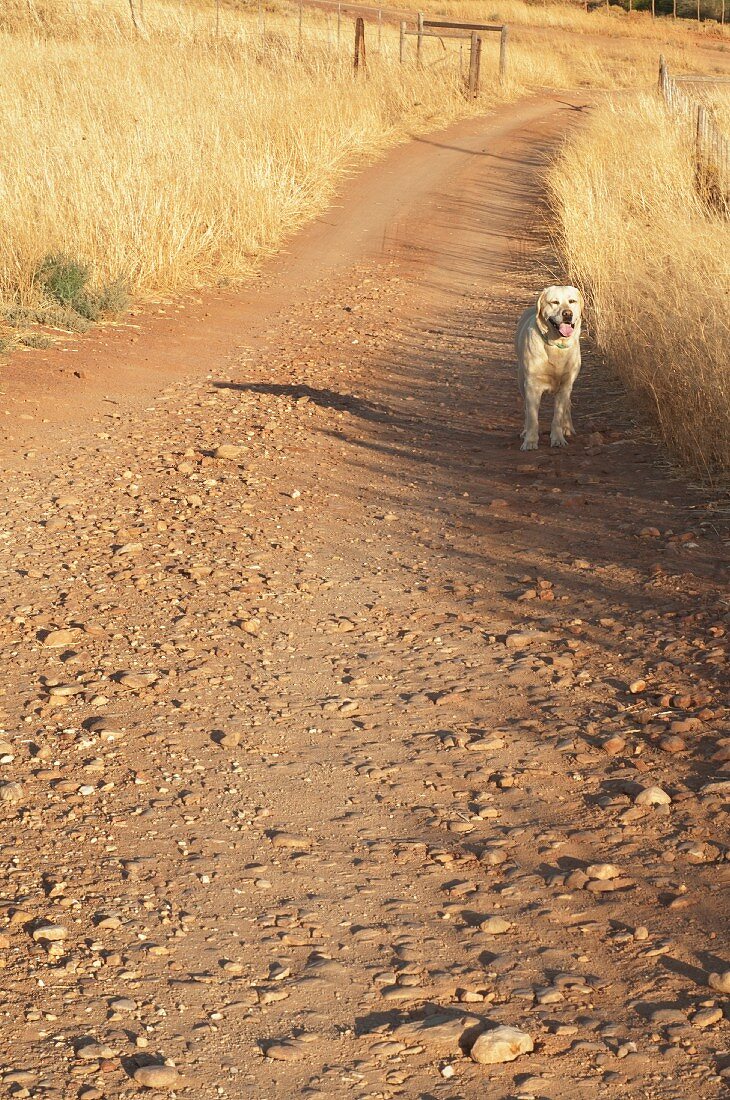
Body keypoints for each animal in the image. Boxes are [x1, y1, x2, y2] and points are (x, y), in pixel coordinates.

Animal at [516, 288, 584, 455]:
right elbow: (532, 417)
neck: (556, 345)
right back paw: (525, 432)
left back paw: (568, 427)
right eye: (554, 302)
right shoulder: (532, 386)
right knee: (526, 409)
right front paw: (530, 441)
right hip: (521, 380)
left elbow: (558, 416)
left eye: (572, 301)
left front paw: (558, 438)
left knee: (568, 405)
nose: (567, 314)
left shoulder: (565, 385)